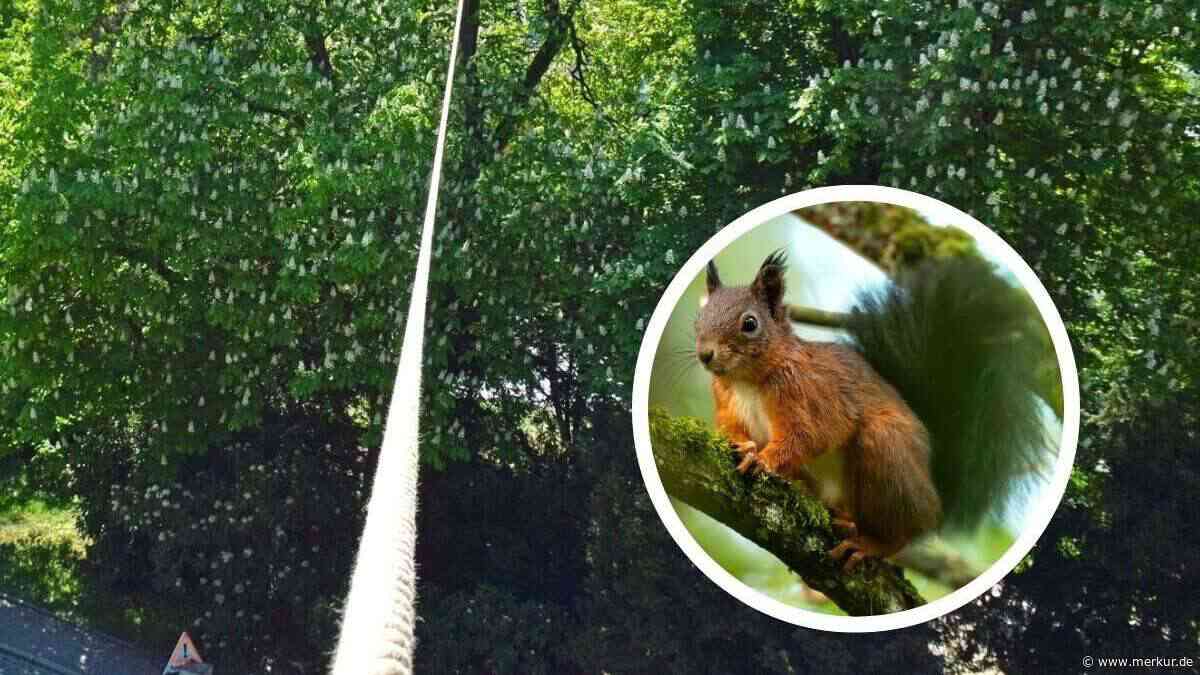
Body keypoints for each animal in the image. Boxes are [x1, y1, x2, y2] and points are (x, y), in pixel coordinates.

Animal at [695, 250, 1048, 572]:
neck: (746, 380)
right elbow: (732, 430)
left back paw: (870, 543)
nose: (705, 355)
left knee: (904, 530)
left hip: (886, 449)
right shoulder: (727, 402)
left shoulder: (808, 395)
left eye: (750, 323)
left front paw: (763, 459)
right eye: (698, 319)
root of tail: (934, 491)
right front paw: (743, 446)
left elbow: (807, 435)